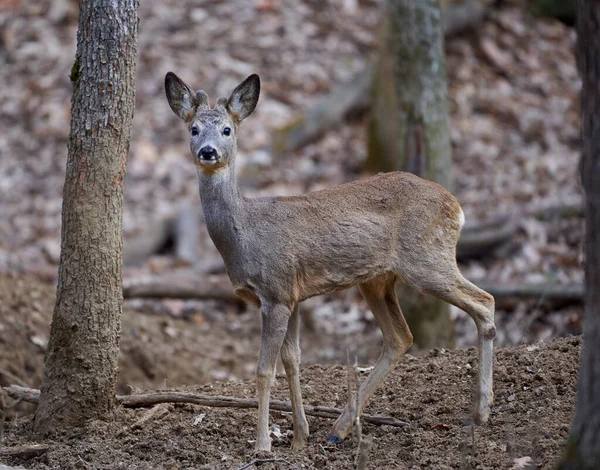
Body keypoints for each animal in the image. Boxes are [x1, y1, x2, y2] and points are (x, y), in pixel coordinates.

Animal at [165, 72, 496, 452]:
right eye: (193, 129)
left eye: (227, 130)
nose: (208, 152)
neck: (243, 235)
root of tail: (457, 207)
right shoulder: (291, 295)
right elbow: (292, 360)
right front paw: (299, 437)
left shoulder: (276, 291)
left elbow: (265, 370)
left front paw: (262, 445)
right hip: (377, 279)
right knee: (400, 337)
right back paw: (340, 428)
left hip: (427, 259)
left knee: (484, 301)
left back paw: (481, 411)